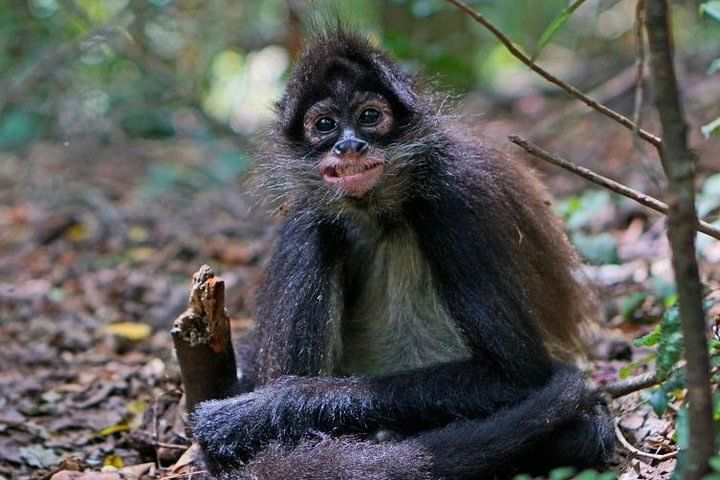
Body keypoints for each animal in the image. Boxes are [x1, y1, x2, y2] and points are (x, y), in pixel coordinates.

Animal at [192, 28, 615, 479]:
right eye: (324, 125)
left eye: (369, 117)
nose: (349, 145)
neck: (382, 212)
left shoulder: (457, 197)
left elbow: (516, 374)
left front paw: (266, 408)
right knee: (312, 226)